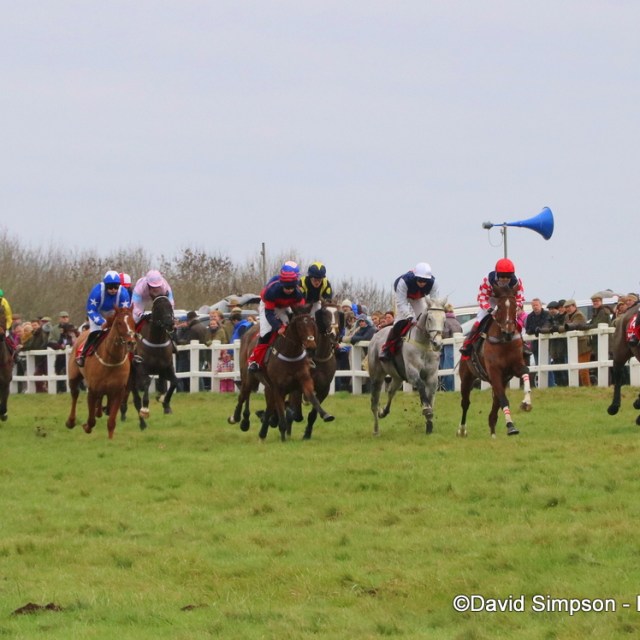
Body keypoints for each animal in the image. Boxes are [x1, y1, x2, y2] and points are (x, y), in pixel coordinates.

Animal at [66, 306, 137, 439]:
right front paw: (86, 426)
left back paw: (99, 411)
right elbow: (91, 420)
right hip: (74, 375)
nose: (131, 343)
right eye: (119, 323)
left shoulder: (119, 391)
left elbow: (111, 422)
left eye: (133, 322)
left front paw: (110, 439)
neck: (111, 360)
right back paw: (71, 421)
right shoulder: (92, 390)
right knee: (75, 394)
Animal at [130, 295, 180, 430]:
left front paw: (165, 402)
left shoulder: (167, 367)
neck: (157, 342)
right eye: (157, 308)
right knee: (136, 400)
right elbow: (146, 383)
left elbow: (174, 382)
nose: (170, 323)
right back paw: (142, 424)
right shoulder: (142, 368)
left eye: (170, 306)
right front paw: (145, 408)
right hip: (130, 378)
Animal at [367, 297, 447, 436]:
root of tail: (376, 334)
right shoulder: (412, 373)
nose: (437, 344)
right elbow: (421, 386)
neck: (423, 344)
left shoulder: (432, 376)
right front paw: (427, 410)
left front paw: (429, 424)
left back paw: (384, 412)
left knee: (390, 392)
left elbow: (430, 396)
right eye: (430, 319)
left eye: (444, 319)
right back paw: (376, 429)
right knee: (374, 402)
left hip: (397, 378)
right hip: (377, 376)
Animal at [457, 284, 532, 438]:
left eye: (515, 306)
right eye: (500, 306)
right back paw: (462, 430)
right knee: (465, 403)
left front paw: (526, 402)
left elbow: (525, 371)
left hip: (501, 380)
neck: (504, 341)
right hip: (466, 377)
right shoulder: (494, 372)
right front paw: (511, 427)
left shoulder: (515, 366)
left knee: (495, 402)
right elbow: (504, 399)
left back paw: (492, 431)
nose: (509, 332)